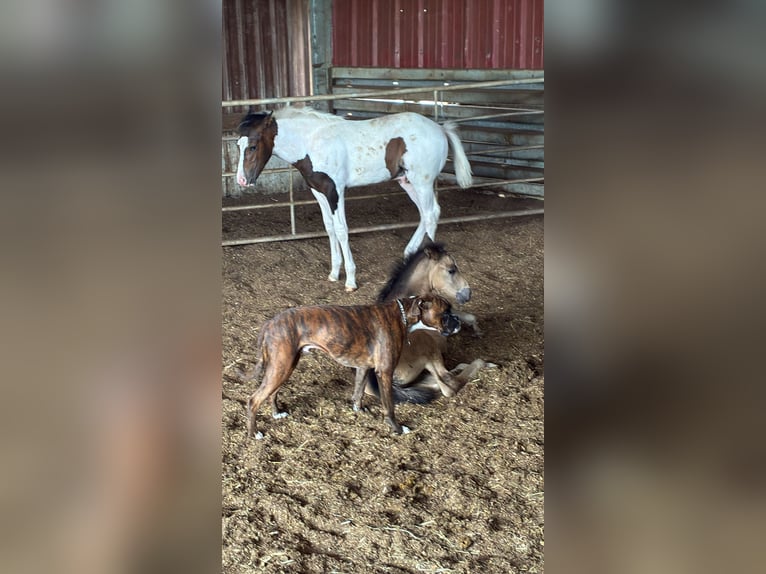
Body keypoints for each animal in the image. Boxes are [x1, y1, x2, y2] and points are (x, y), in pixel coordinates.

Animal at [235, 106, 473, 292]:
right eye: (238, 146)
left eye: (253, 146)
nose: (242, 180)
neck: (311, 143)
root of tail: (440, 129)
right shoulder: (319, 192)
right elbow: (329, 228)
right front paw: (334, 273)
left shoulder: (335, 191)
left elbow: (341, 230)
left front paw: (350, 280)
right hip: (407, 182)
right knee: (426, 214)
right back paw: (409, 255)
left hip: (422, 182)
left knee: (431, 215)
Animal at [366, 240, 495, 404]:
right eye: (451, 270)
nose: (467, 294)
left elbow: (468, 317)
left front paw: (477, 332)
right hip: (429, 348)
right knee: (448, 384)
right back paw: (487, 364)